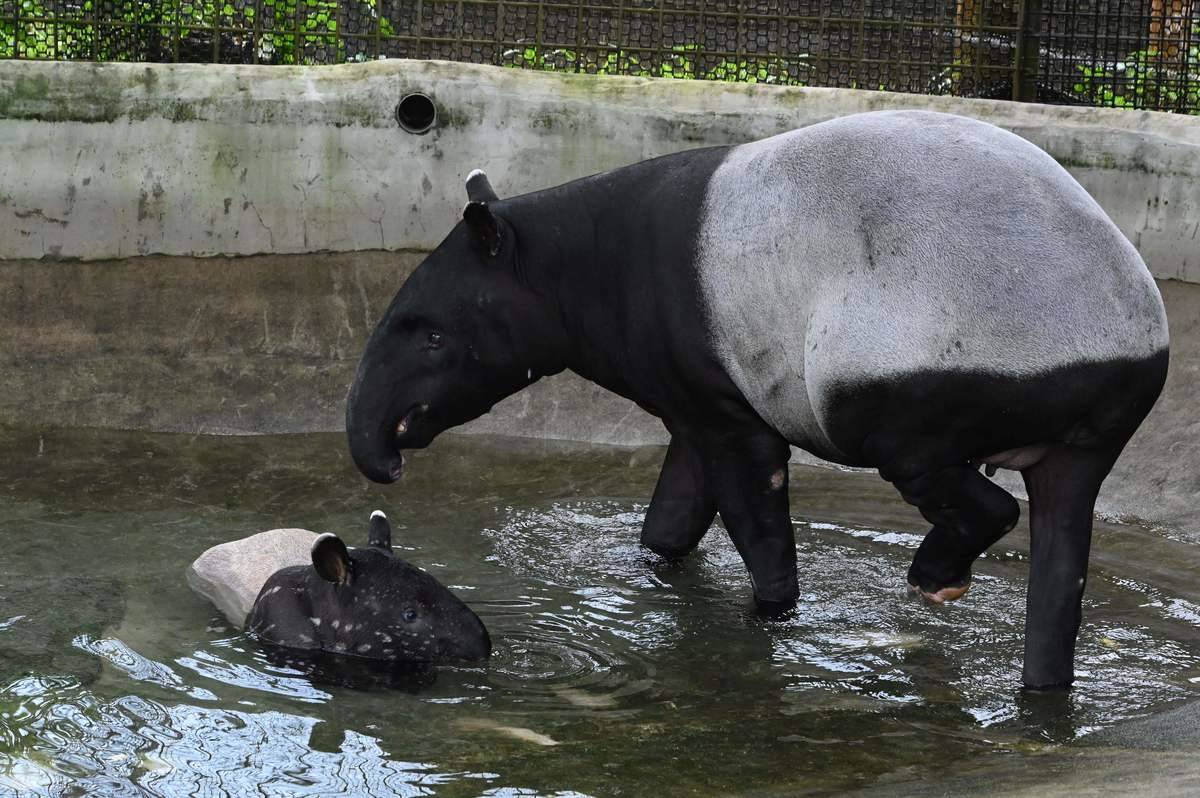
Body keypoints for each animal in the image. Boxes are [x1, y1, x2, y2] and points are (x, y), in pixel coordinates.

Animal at [343, 109, 1166, 686]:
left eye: (433, 337)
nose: (384, 462)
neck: (578, 262)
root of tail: (1123, 347)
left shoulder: (727, 403)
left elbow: (753, 514)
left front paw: (767, 618)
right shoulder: (696, 393)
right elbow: (674, 515)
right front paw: (653, 573)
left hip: (913, 382)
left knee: (967, 492)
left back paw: (935, 580)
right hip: (1085, 437)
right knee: (1060, 568)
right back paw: (1042, 689)